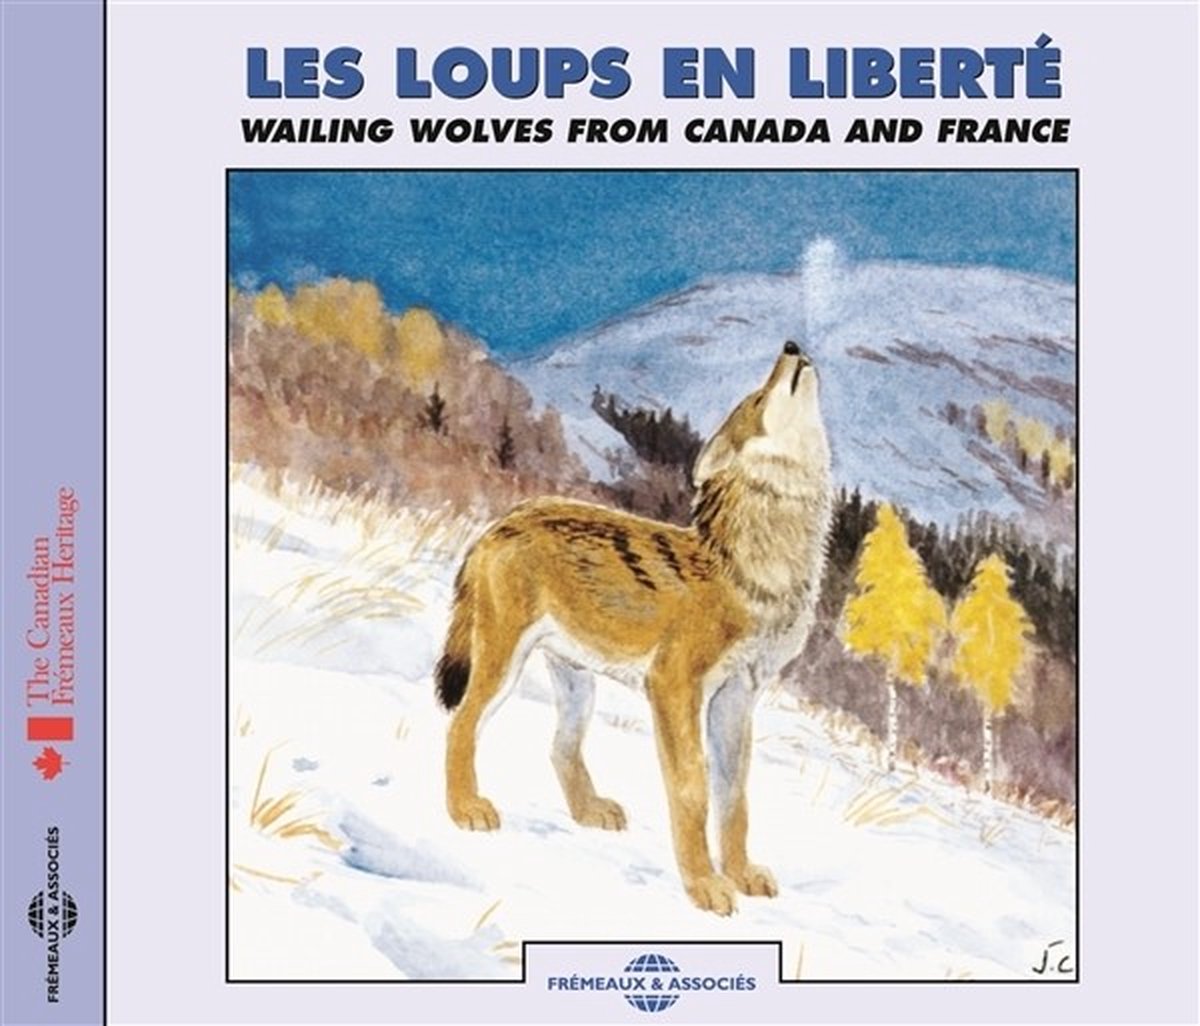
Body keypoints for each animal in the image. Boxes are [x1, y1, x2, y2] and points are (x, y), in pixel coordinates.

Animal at [434, 341, 832, 914]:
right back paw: (465, 808)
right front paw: (704, 885)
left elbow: (735, 800)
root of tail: (501, 522)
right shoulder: (673, 684)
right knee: (460, 725)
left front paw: (740, 874)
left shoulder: (738, 698)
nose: (792, 346)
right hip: (502, 664)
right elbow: (692, 790)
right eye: (758, 398)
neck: (756, 572)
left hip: (577, 683)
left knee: (559, 748)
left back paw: (590, 811)